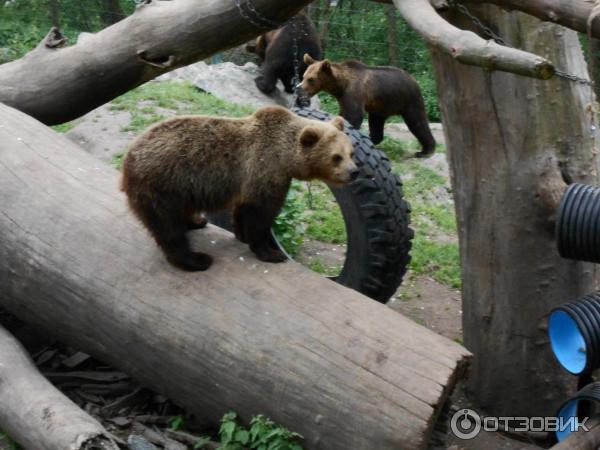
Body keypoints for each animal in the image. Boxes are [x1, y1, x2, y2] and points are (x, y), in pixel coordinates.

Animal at [121, 107, 356, 272]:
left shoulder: (249, 181)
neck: (286, 158)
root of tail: (127, 159)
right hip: (162, 185)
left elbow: (243, 209)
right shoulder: (265, 169)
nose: (354, 172)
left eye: (351, 152)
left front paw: (243, 235)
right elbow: (261, 213)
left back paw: (196, 221)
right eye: (336, 157)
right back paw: (197, 259)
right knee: (168, 228)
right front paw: (271, 253)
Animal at [300, 54, 436, 157]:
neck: (341, 85)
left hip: (408, 99)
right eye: (303, 76)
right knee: (376, 123)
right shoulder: (343, 97)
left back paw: (425, 151)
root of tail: (413, 79)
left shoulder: (354, 92)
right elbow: (343, 114)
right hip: (380, 105)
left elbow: (353, 115)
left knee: (417, 121)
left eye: (311, 79)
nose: (299, 88)